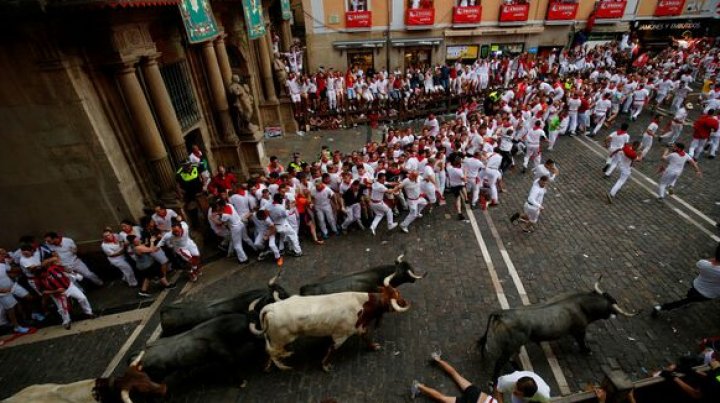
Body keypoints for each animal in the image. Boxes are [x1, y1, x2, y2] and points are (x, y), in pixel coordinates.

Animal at [252, 274, 410, 372]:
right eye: (398, 296)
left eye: (397, 292)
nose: (405, 301)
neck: (363, 304)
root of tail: (270, 308)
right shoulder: (341, 335)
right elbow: (331, 350)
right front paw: (325, 366)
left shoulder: (359, 328)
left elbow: (366, 338)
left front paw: (373, 346)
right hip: (279, 340)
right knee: (272, 352)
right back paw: (277, 365)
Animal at [478, 280, 636, 380]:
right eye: (611, 305)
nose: (615, 314)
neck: (580, 304)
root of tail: (501, 313)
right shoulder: (580, 330)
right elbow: (582, 342)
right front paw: (587, 351)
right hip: (511, 346)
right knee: (500, 362)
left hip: (510, 347)